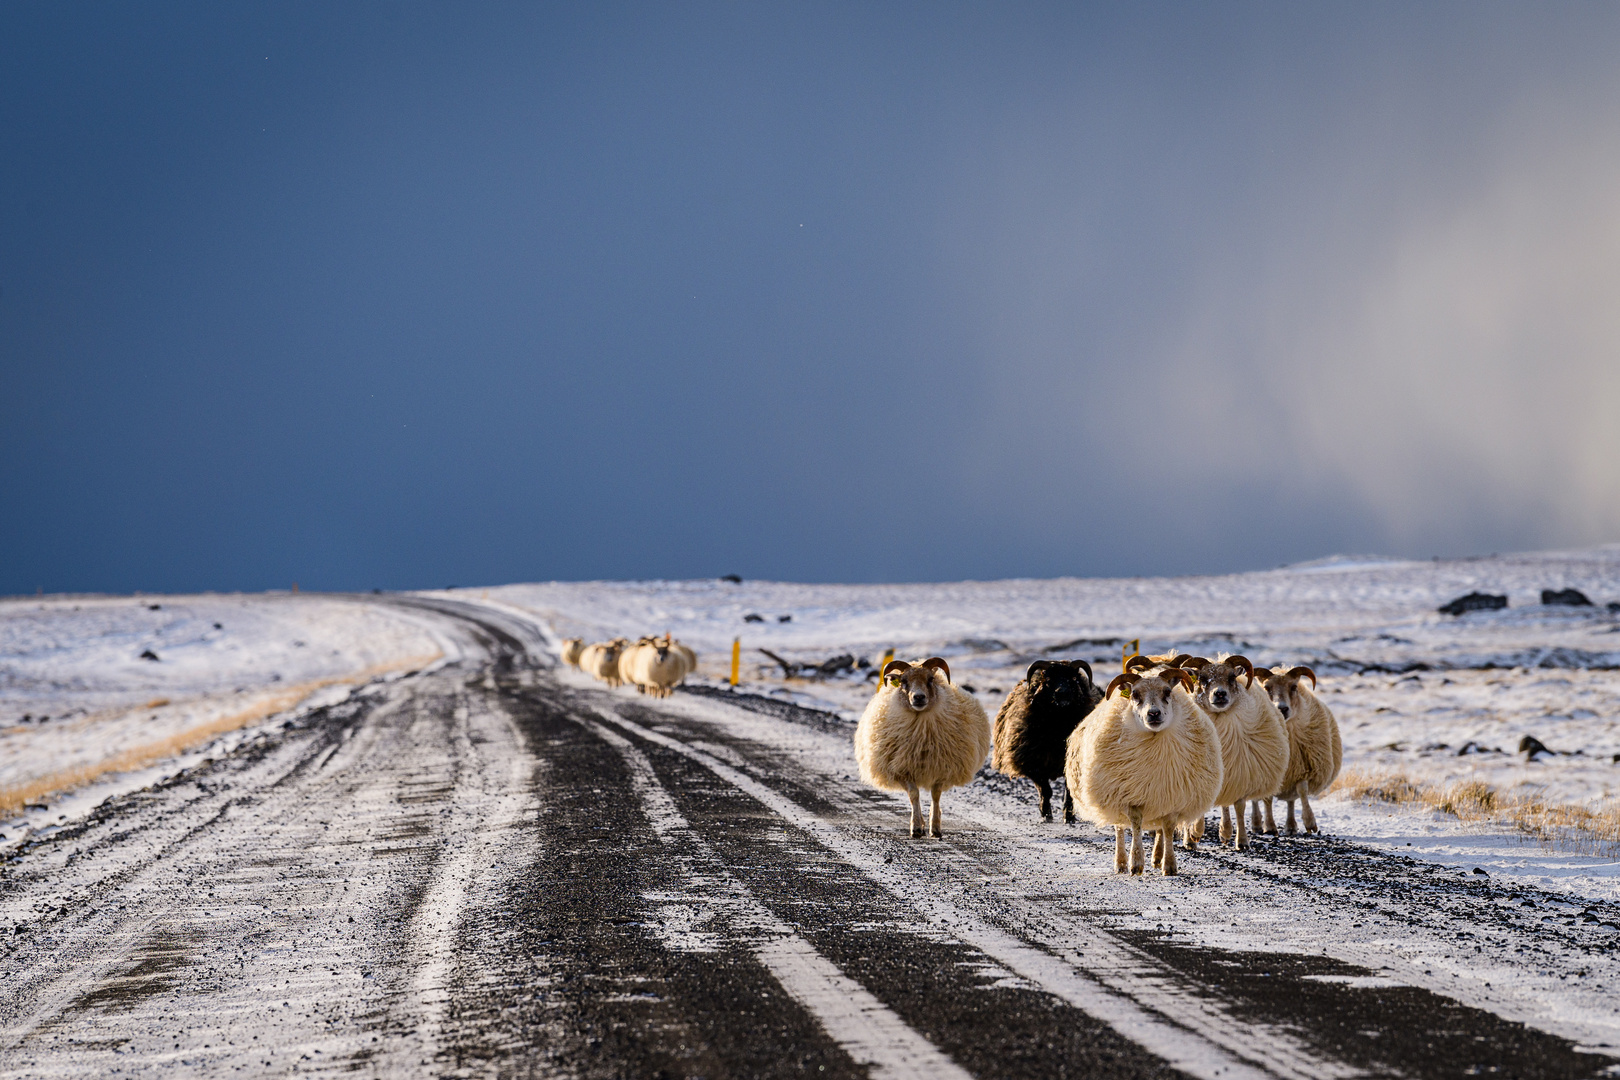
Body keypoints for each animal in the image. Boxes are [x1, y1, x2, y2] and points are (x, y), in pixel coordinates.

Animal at [855, 654, 991, 841]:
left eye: (930, 679)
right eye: (903, 681)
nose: (918, 697)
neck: (921, 730)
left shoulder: (941, 767)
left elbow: (935, 796)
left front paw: (935, 827)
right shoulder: (902, 768)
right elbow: (914, 795)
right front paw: (917, 828)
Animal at [984, 660, 1101, 829]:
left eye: (1073, 678)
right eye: (1049, 680)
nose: (1062, 693)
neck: (1058, 728)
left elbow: (1068, 793)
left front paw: (1069, 817)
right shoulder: (1032, 762)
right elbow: (1045, 791)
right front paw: (1046, 815)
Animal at [1062, 667, 1218, 880]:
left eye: (1167, 691)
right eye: (1135, 695)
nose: (1153, 713)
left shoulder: (1171, 797)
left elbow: (1167, 829)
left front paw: (1169, 864)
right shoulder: (1131, 796)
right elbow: (1135, 825)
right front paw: (1135, 863)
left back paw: (1157, 857)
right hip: (1112, 792)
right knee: (1119, 827)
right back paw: (1120, 862)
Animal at [1179, 654, 1289, 848]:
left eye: (1231, 678)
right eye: (1202, 679)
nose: (1220, 693)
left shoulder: (1240, 773)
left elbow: (1239, 807)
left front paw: (1242, 841)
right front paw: (1195, 832)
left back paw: (1225, 832)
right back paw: (1190, 839)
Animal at [1250, 667, 1341, 835]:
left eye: (1294, 687)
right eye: (1266, 688)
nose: (1282, 708)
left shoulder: (1302, 768)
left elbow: (1302, 791)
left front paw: (1310, 822)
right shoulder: (1270, 770)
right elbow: (1267, 798)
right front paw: (1270, 826)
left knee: (1291, 799)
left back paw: (1291, 826)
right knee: (1255, 798)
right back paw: (1257, 824)